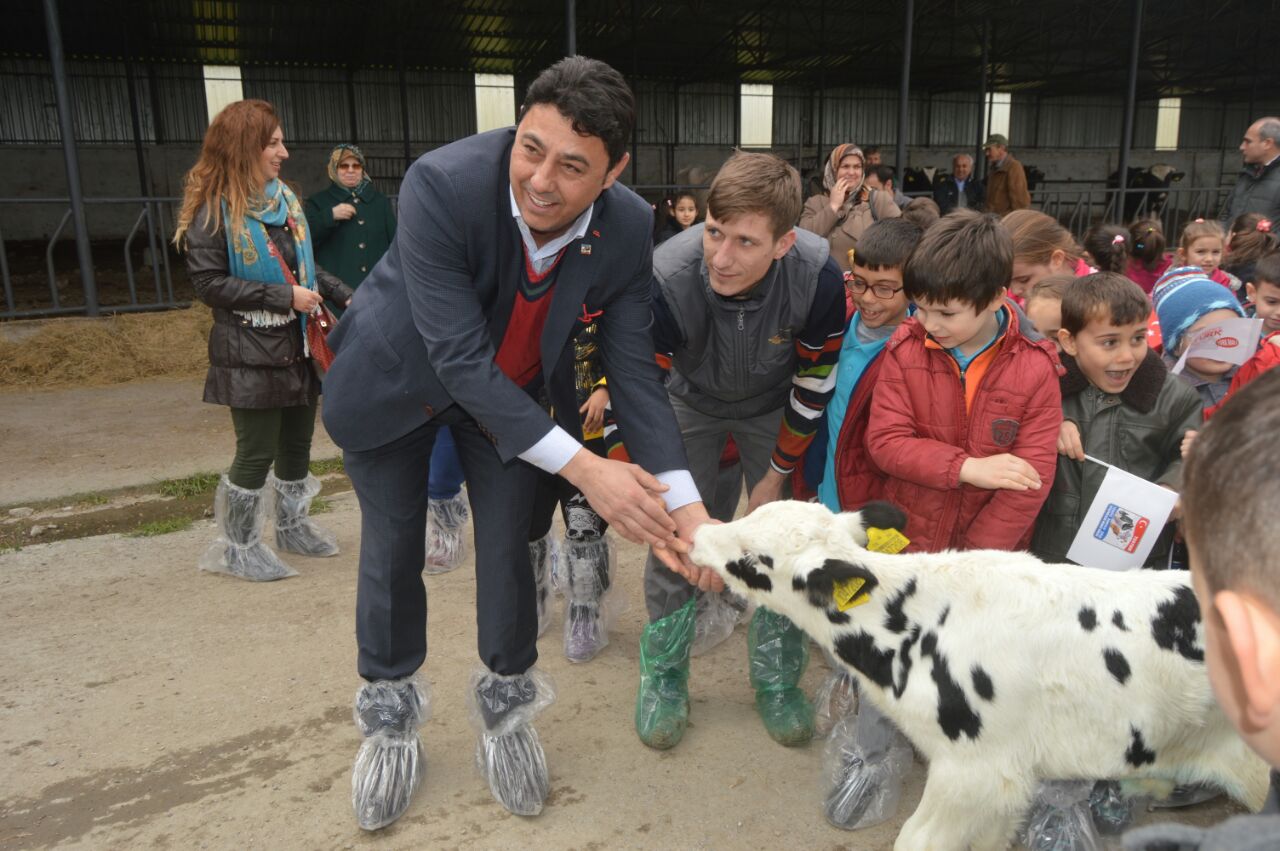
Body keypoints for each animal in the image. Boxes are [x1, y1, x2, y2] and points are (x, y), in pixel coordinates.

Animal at [696, 499, 1274, 849]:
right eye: (751, 514)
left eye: (754, 557)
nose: (700, 531)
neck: (918, 627)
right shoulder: (1005, 780)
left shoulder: (973, 770)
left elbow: (916, 840)